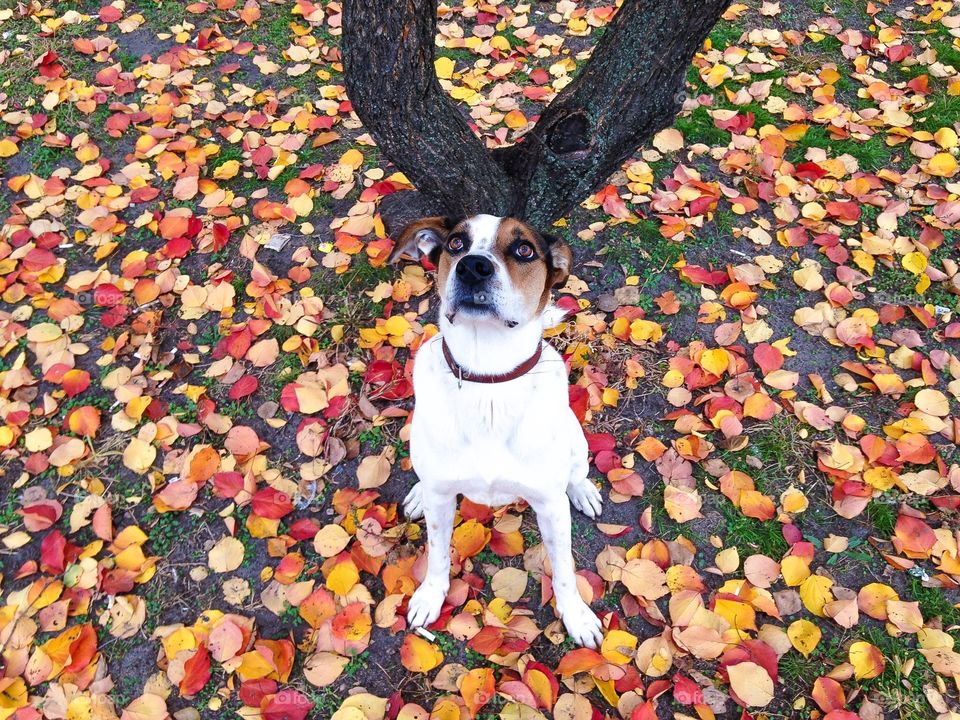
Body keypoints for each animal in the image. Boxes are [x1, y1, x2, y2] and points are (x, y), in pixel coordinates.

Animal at [388, 212, 600, 648]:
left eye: (524, 250)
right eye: (456, 243)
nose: (473, 267)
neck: (489, 379)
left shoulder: (550, 506)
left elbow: (565, 570)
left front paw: (577, 617)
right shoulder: (441, 500)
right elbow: (437, 555)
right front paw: (430, 597)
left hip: (576, 440)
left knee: (576, 472)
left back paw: (583, 489)